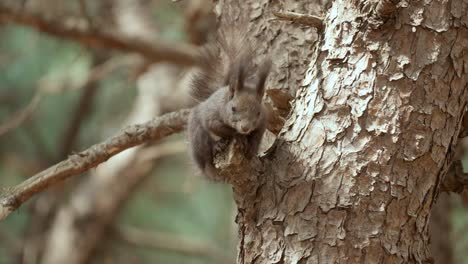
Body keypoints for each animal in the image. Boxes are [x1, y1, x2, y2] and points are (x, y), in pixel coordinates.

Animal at [186, 31, 270, 182]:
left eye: (258, 113)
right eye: (233, 109)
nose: (245, 128)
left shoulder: (263, 121)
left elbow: (257, 135)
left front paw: (252, 149)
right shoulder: (212, 117)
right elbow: (219, 127)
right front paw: (239, 137)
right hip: (197, 136)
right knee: (205, 159)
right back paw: (215, 152)